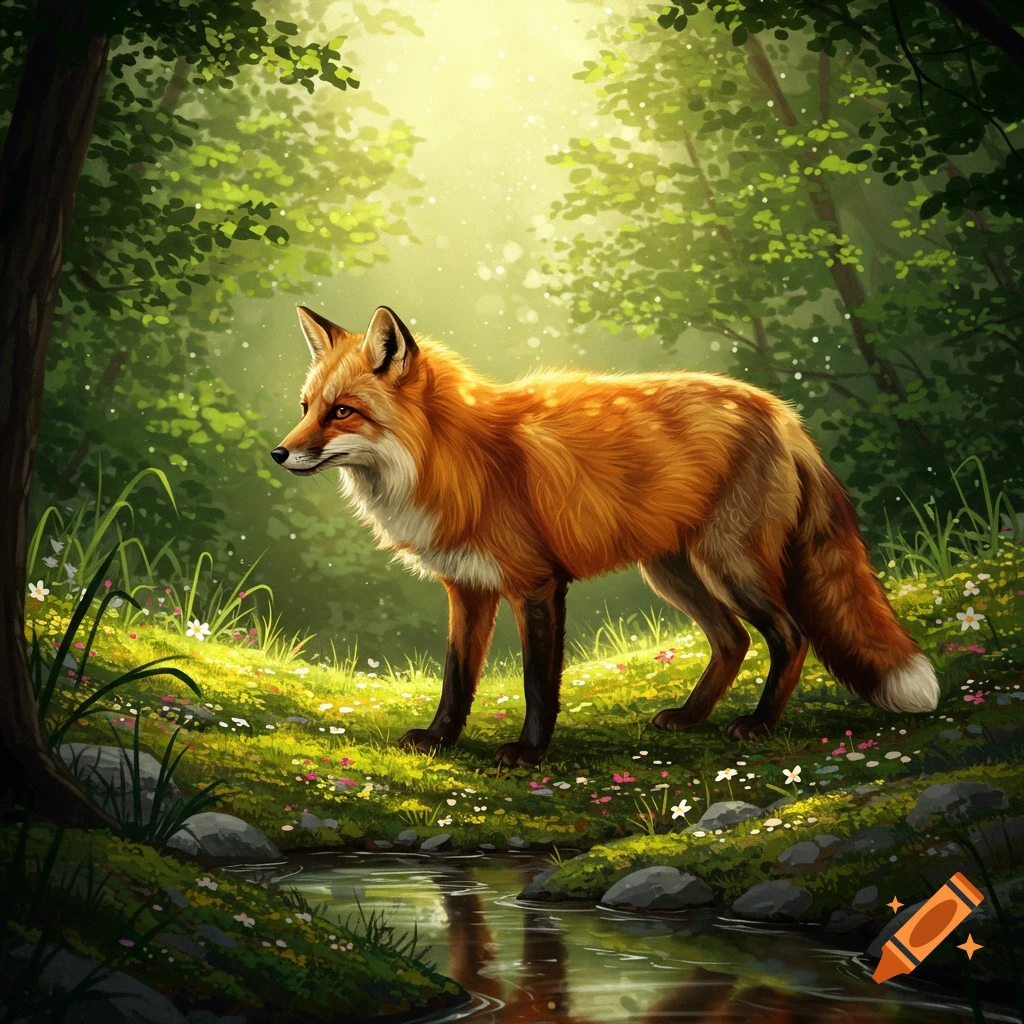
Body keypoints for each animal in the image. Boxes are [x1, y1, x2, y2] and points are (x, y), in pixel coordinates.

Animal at [271, 303, 940, 767]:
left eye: (342, 412)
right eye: (305, 407)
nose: (278, 453)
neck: (453, 459)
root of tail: (780, 410)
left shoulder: (537, 584)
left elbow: (538, 683)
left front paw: (527, 754)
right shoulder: (469, 587)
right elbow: (456, 678)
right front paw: (439, 739)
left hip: (730, 565)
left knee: (789, 635)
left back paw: (758, 725)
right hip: (674, 572)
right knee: (732, 642)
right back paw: (690, 717)